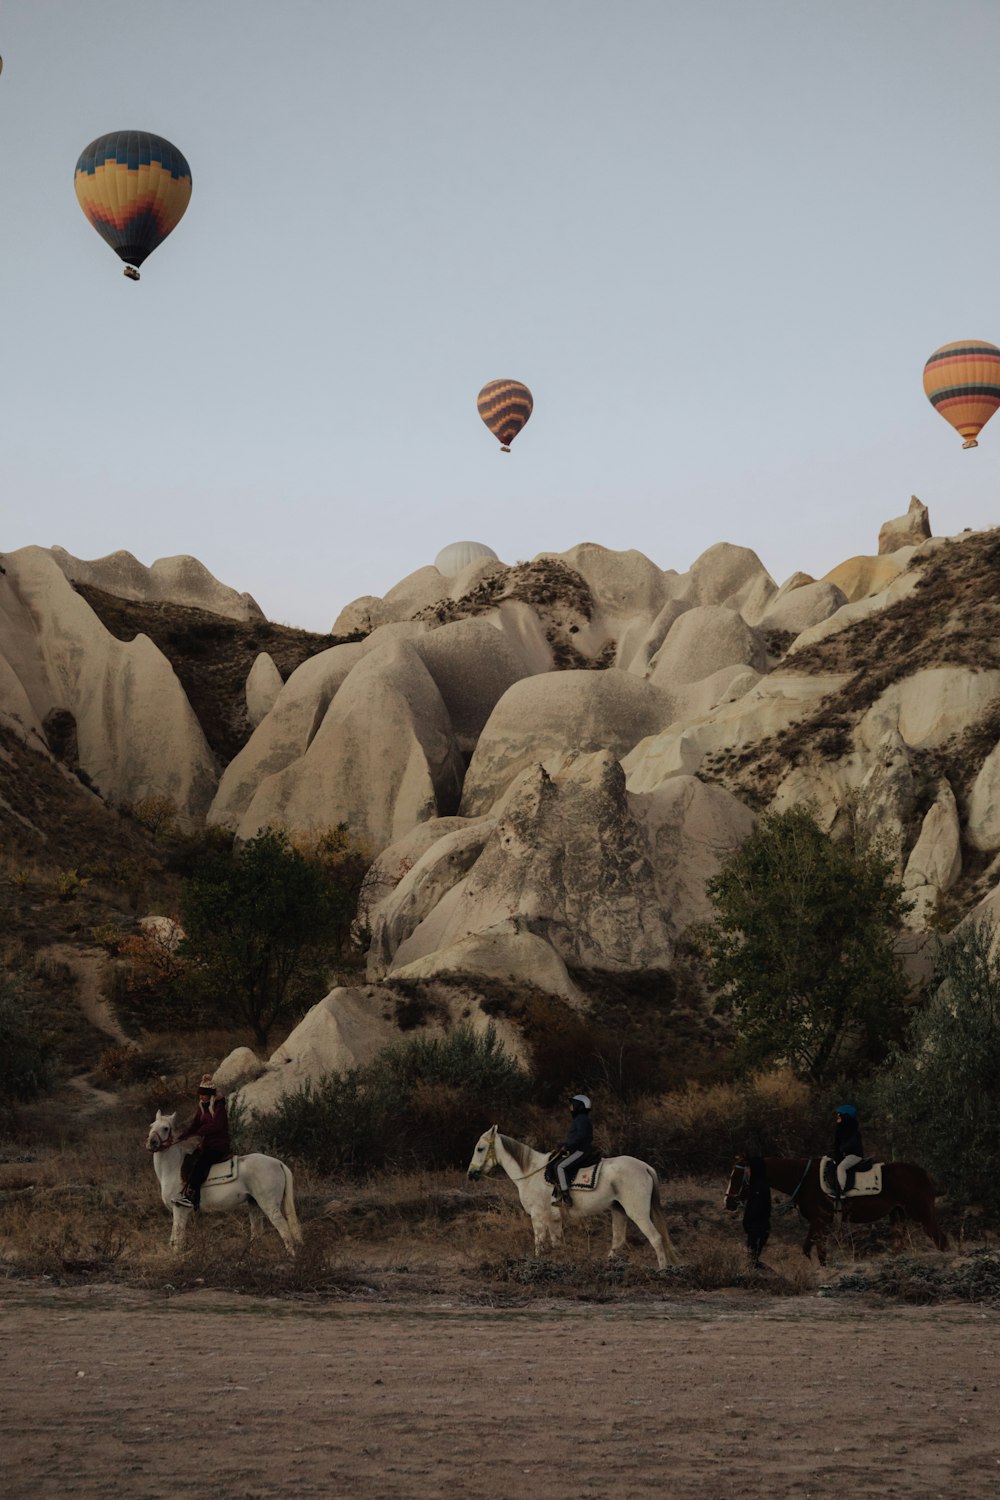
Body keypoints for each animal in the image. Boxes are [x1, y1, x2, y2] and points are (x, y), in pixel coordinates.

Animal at [144, 1116, 301, 1254]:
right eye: (151, 1126)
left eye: (165, 1128)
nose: (151, 1143)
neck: (175, 1168)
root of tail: (278, 1163)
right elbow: (173, 1239)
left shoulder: (180, 1209)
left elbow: (177, 1240)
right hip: (254, 1204)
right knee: (257, 1233)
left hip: (269, 1205)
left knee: (283, 1229)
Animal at [470, 1122, 680, 1272]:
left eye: (480, 1148)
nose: (471, 1174)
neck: (530, 1172)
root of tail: (645, 1167)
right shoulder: (554, 1219)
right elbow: (556, 1243)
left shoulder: (538, 1216)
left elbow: (539, 1243)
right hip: (619, 1210)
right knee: (618, 1241)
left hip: (638, 1213)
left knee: (656, 1238)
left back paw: (662, 1271)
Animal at [728, 1158, 947, 1266]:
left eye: (737, 1177)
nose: (727, 1202)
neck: (804, 1180)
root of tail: (924, 1173)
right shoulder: (818, 1222)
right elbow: (809, 1249)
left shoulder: (820, 1222)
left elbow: (818, 1251)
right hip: (898, 1213)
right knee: (902, 1241)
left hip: (922, 1213)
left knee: (940, 1240)